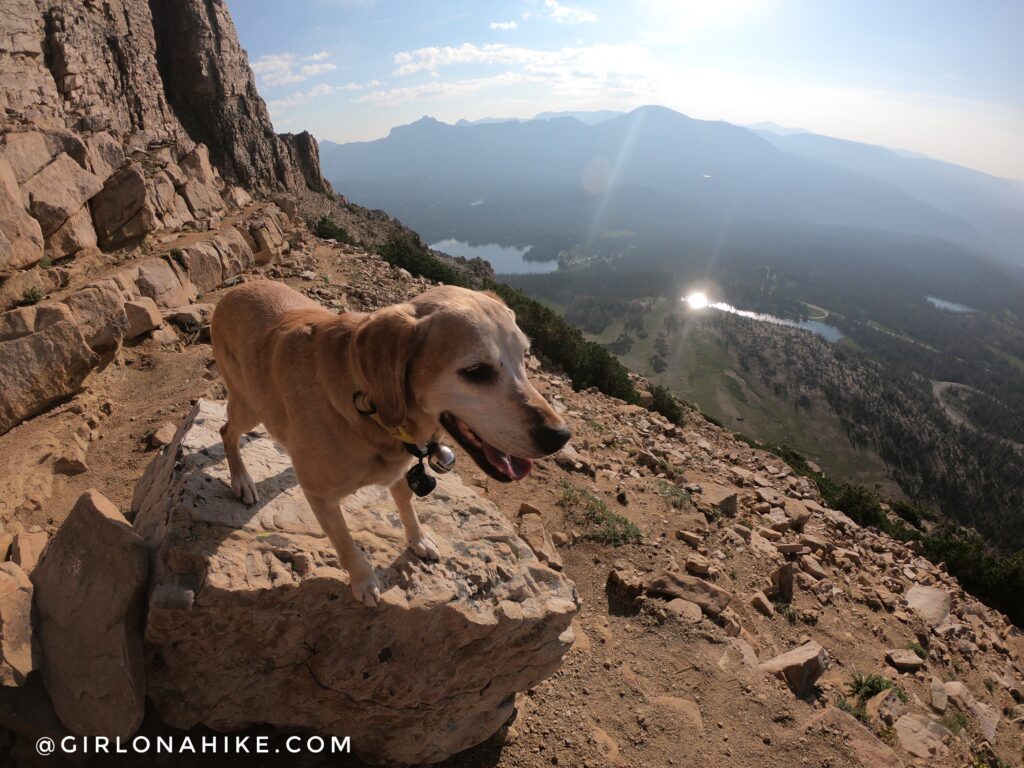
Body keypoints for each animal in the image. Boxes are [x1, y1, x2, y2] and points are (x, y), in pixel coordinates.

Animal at [211, 282, 573, 606]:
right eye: (475, 371)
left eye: (525, 356)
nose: (560, 436)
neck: (369, 405)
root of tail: (237, 289)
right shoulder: (320, 496)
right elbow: (345, 543)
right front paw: (364, 580)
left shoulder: (401, 470)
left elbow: (406, 505)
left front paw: (419, 540)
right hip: (249, 406)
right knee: (227, 431)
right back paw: (242, 480)